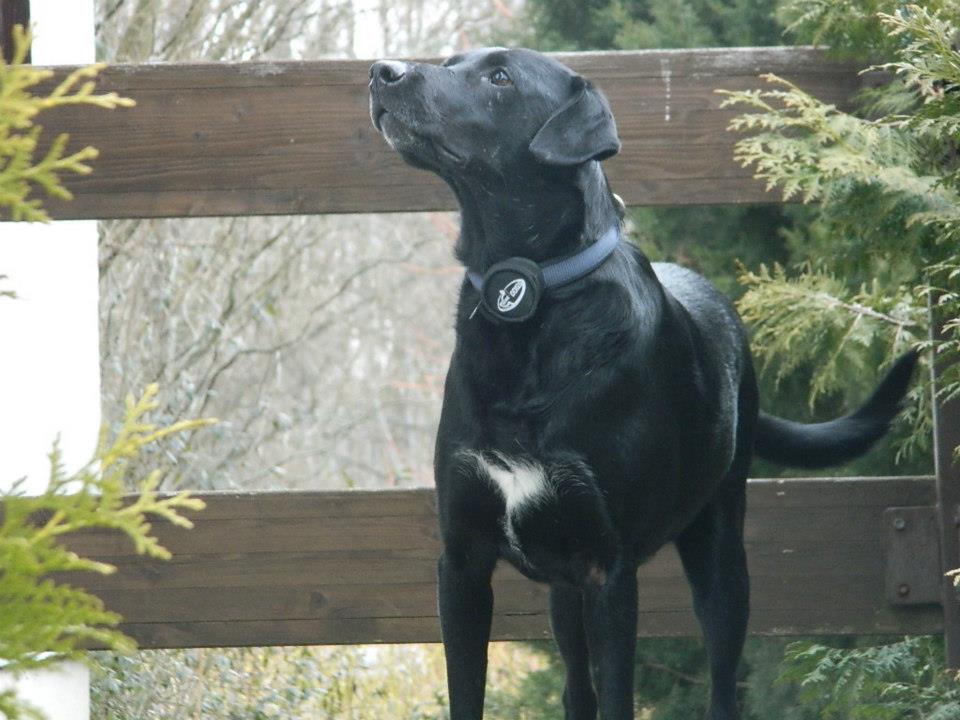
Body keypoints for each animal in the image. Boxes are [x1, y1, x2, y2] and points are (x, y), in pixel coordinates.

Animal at [368, 47, 917, 720]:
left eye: (500, 77)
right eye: (450, 61)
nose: (381, 71)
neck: (529, 294)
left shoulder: (609, 571)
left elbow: (619, 698)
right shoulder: (463, 565)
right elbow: (468, 692)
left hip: (720, 556)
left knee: (722, 676)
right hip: (563, 591)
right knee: (576, 686)